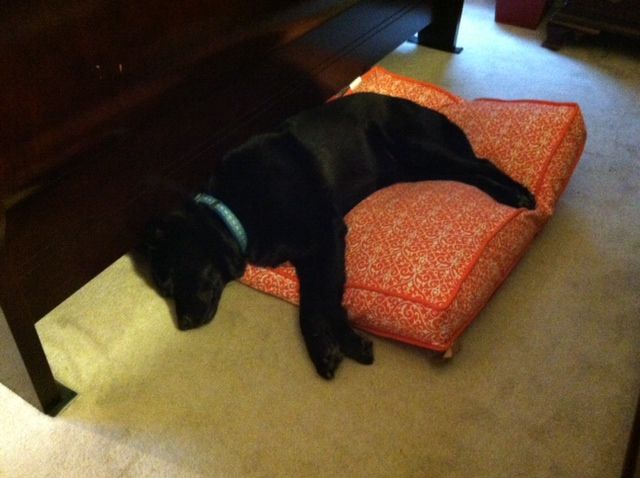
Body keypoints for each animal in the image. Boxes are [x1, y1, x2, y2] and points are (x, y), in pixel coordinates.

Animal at [141, 92, 536, 378]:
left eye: (171, 281)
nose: (184, 326)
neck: (232, 209)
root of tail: (429, 110)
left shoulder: (325, 234)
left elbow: (318, 304)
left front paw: (330, 348)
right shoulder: (311, 254)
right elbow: (321, 300)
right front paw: (342, 342)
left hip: (418, 145)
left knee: (481, 164)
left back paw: (519, 195)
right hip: (420, 167)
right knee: (467, 175)